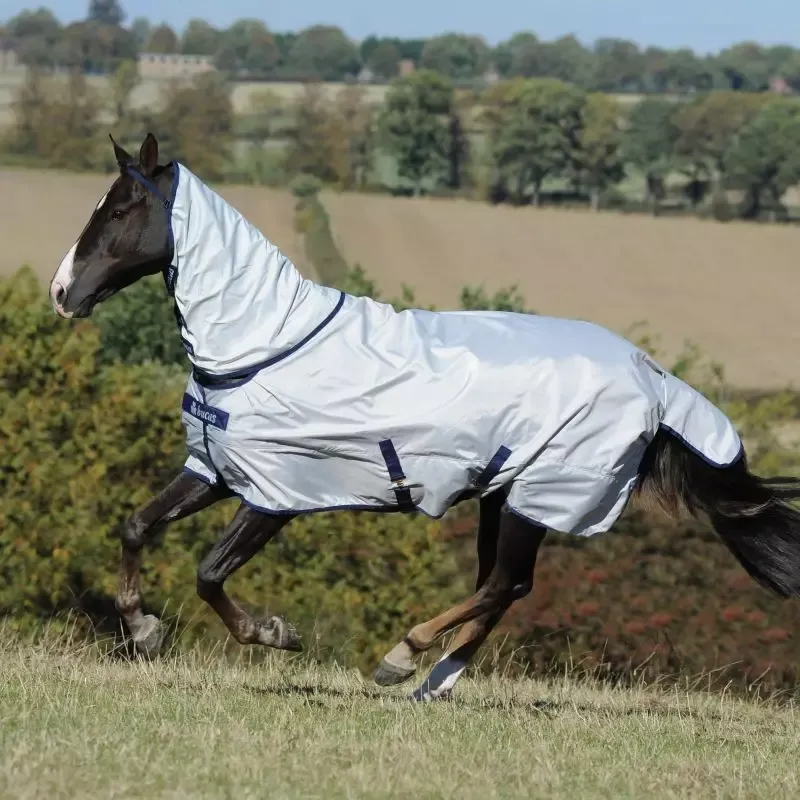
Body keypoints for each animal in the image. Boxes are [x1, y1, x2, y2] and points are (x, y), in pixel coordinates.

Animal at [49, 133, 800, 702]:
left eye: (121, 209)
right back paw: (430, 683)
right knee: (507, 586)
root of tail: (652, 378)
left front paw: (274, 634)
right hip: (505, 493)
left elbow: (208, 573)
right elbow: (135, 527)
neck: (264, 345)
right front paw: (144, 631)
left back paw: (402, 657)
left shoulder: (274, 495)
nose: (61, 292)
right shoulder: (215, 469)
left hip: (537, 498)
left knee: (501, 582)